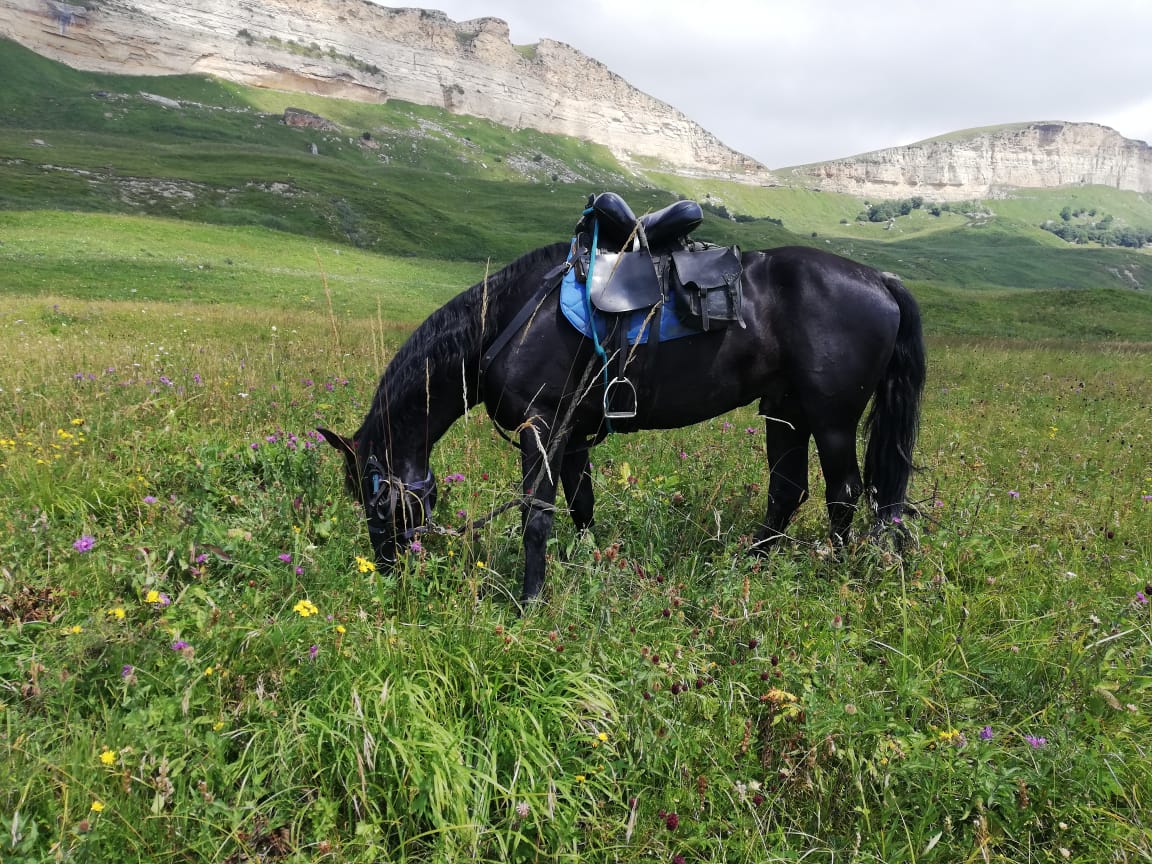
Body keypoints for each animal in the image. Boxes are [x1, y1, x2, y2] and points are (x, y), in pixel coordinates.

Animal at [319, 240, 926, 601]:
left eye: (377, 500)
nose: (388, 570)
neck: (512, 319)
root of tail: (880, 279)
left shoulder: (543, 428)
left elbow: (536, 516)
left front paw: (529, 600)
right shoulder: (572, 437)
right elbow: (580, 505)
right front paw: (588, 564)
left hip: (831, 419)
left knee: (843, 493)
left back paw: (830, 575)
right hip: (786, 411)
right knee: (787, 489)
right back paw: (751, 565)